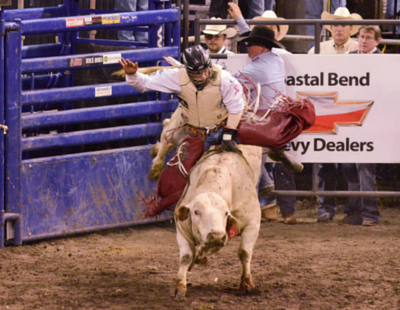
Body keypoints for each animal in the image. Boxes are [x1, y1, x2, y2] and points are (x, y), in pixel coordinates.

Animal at [173, 145, 260, 300]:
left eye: (226, 213)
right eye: (196, 212)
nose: (216, 236)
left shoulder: (253, 223)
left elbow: (244, 253)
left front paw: (247, 284)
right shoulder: (182, 229)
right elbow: (186, 257)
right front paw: (180, 286)